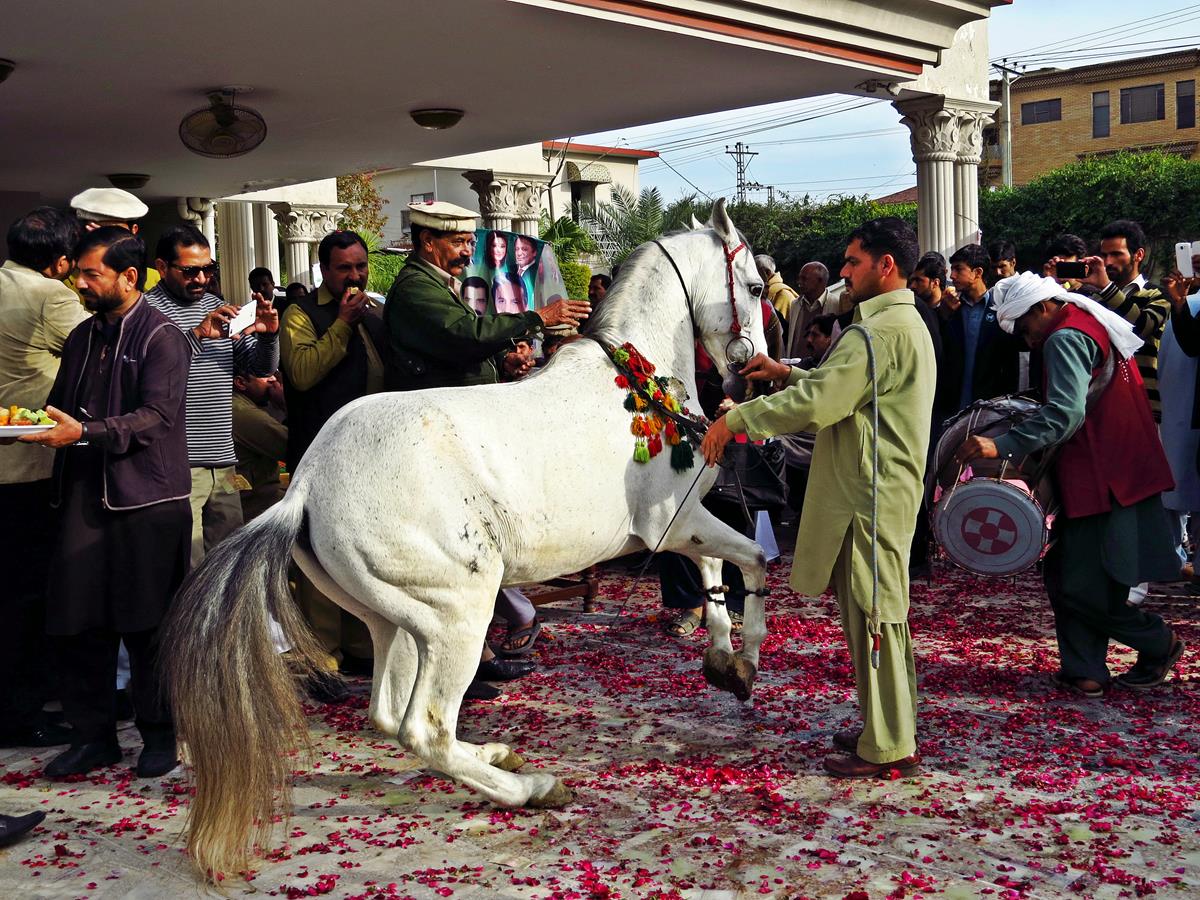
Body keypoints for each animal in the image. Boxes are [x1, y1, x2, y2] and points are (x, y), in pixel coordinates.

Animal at [162, 199, 768, 883]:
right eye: (753, 287)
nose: (749, 374)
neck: (638, 386)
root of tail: (307, 484)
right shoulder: (674, 520)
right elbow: (752, 559)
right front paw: (746, 657)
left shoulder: (683, 522)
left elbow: (718, 570)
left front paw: (725, 663)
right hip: (460, 613)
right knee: (424, 727)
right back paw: (533, 787)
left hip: (396, 620)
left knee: (389, 714)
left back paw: (496, 754)